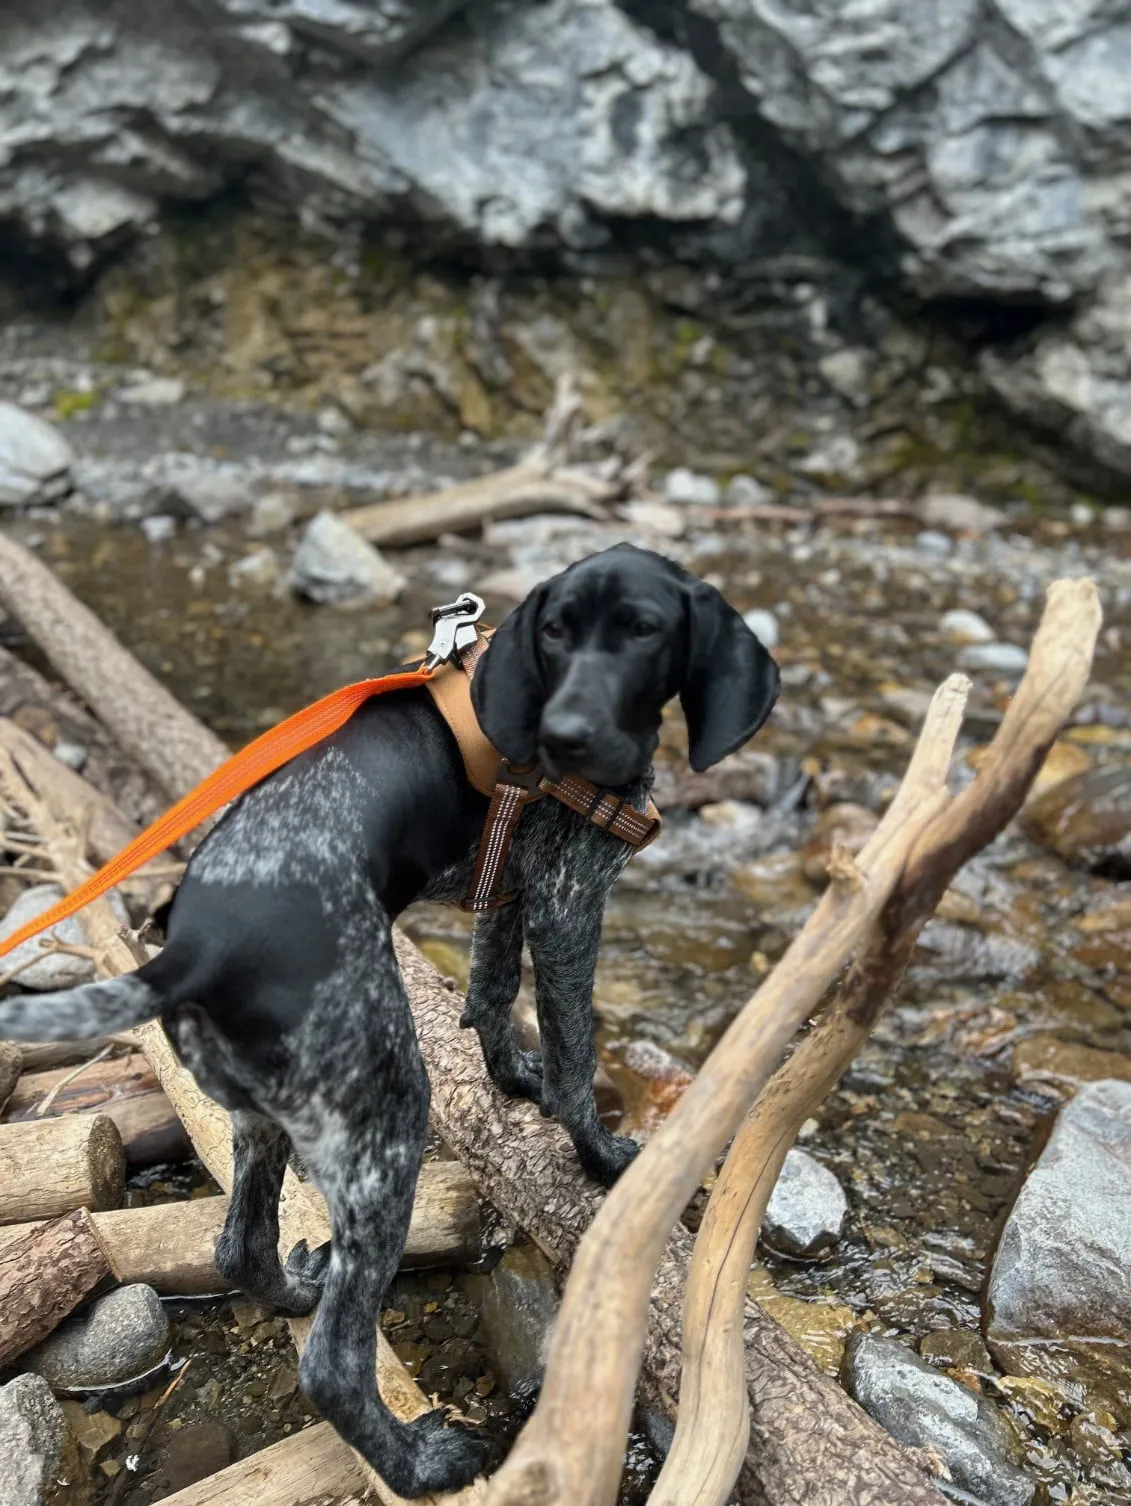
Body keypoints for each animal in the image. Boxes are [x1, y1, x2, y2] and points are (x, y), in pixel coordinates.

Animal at [0, 545, 777, 1493]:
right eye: (556, 632)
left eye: (643, 631)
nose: (564, 737)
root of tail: (192, 951)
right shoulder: (568, 903)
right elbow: (571, 1053)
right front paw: (598, 1153)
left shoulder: (510, 887)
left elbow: (491, 992)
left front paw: (509, 1077)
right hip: (386, 1120)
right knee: (333, 1362)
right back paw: (418, 1462)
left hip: (271, 1118)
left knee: (239, 1249)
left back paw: (295, 1290)